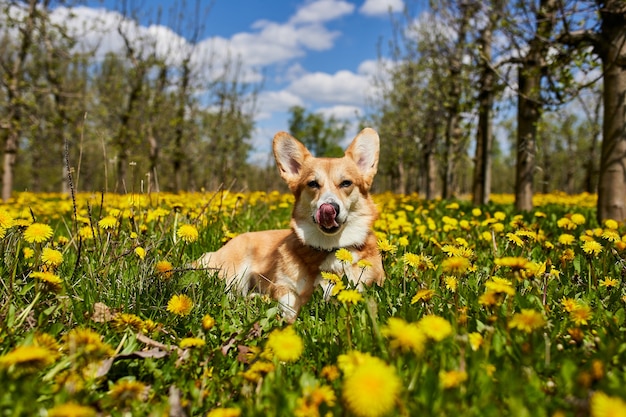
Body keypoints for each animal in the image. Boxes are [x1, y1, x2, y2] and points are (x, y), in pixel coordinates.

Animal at [193, 127, 382, 322]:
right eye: (313, 184)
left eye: (346, 183)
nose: (330, 209)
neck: (329, 248)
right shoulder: (282, 286)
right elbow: (288, 299)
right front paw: (288, 318)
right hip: (233, 274)